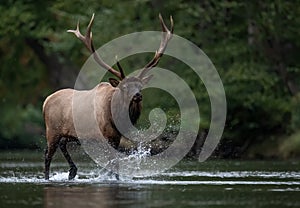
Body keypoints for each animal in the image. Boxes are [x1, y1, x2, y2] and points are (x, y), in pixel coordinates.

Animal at [42, 13, 173, 180]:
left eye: (140, 86)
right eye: (124, 86)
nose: (137, 95)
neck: (115, 115)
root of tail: (45, 101)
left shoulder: (117, 138)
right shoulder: (106, 136)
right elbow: (113, 163)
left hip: (67, 133)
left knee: (62, 145)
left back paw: (73, 171)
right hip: (52, 130)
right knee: (48, 154)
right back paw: (48, 177)